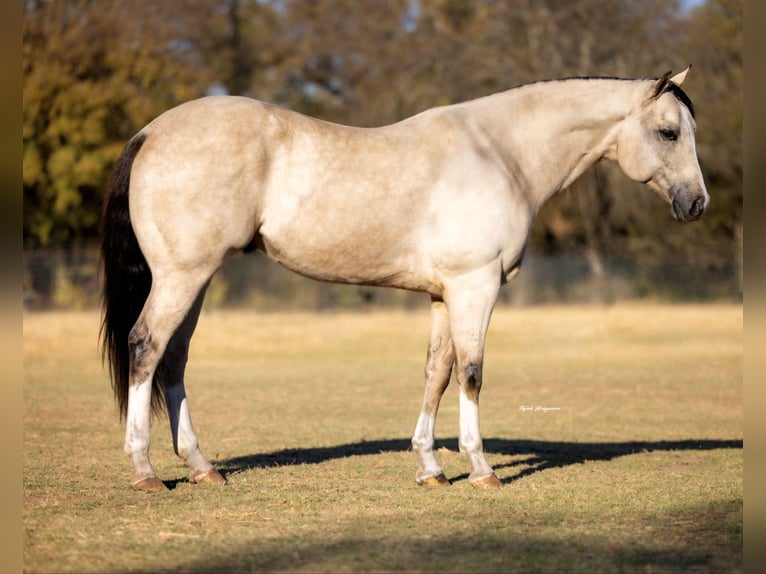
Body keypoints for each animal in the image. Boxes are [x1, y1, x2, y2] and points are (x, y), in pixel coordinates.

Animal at [101, 68, 708, 492]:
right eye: (668, 132)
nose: (697, 203)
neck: (501, 153)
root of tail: (150, 131)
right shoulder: (475, 287)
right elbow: (472, 374)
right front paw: (482, 469)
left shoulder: (444, 295)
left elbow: (436, 375)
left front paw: (430, 468)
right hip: (182, 277)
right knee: (146, 347)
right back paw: (145, 471)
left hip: (196, 280)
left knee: (174, 361)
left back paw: (202, 466)